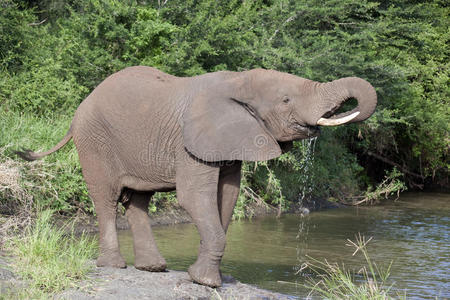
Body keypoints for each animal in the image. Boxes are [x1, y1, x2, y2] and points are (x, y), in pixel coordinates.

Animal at [16, 67, 376, 288]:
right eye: (286, 100)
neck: (237, 81)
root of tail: (78, 110)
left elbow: (226, 197)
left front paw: (213, 278)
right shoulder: (191, 142)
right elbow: (194, 197)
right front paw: (207, 282)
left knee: (138, 200)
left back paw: (153, 268)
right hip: (94, 141)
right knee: (106, 198)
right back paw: (114, 266)